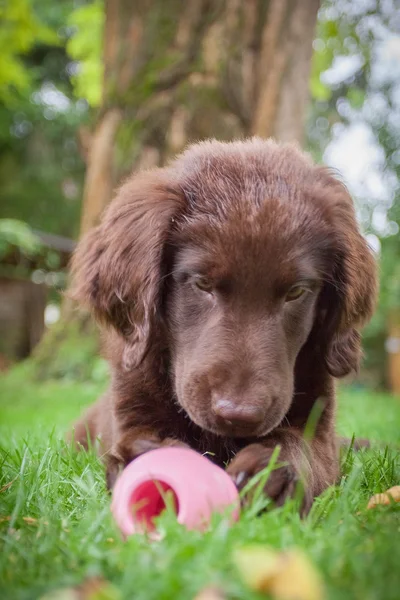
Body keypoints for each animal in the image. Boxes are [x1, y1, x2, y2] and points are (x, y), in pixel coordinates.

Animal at [69, 138, 378, 512]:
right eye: (202, 284)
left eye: (296, 292)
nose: (239, 415)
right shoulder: (132, 409)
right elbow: (137, 441)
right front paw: (141, 460)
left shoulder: (318, 425)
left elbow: (300, 449)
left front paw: (269, 475)